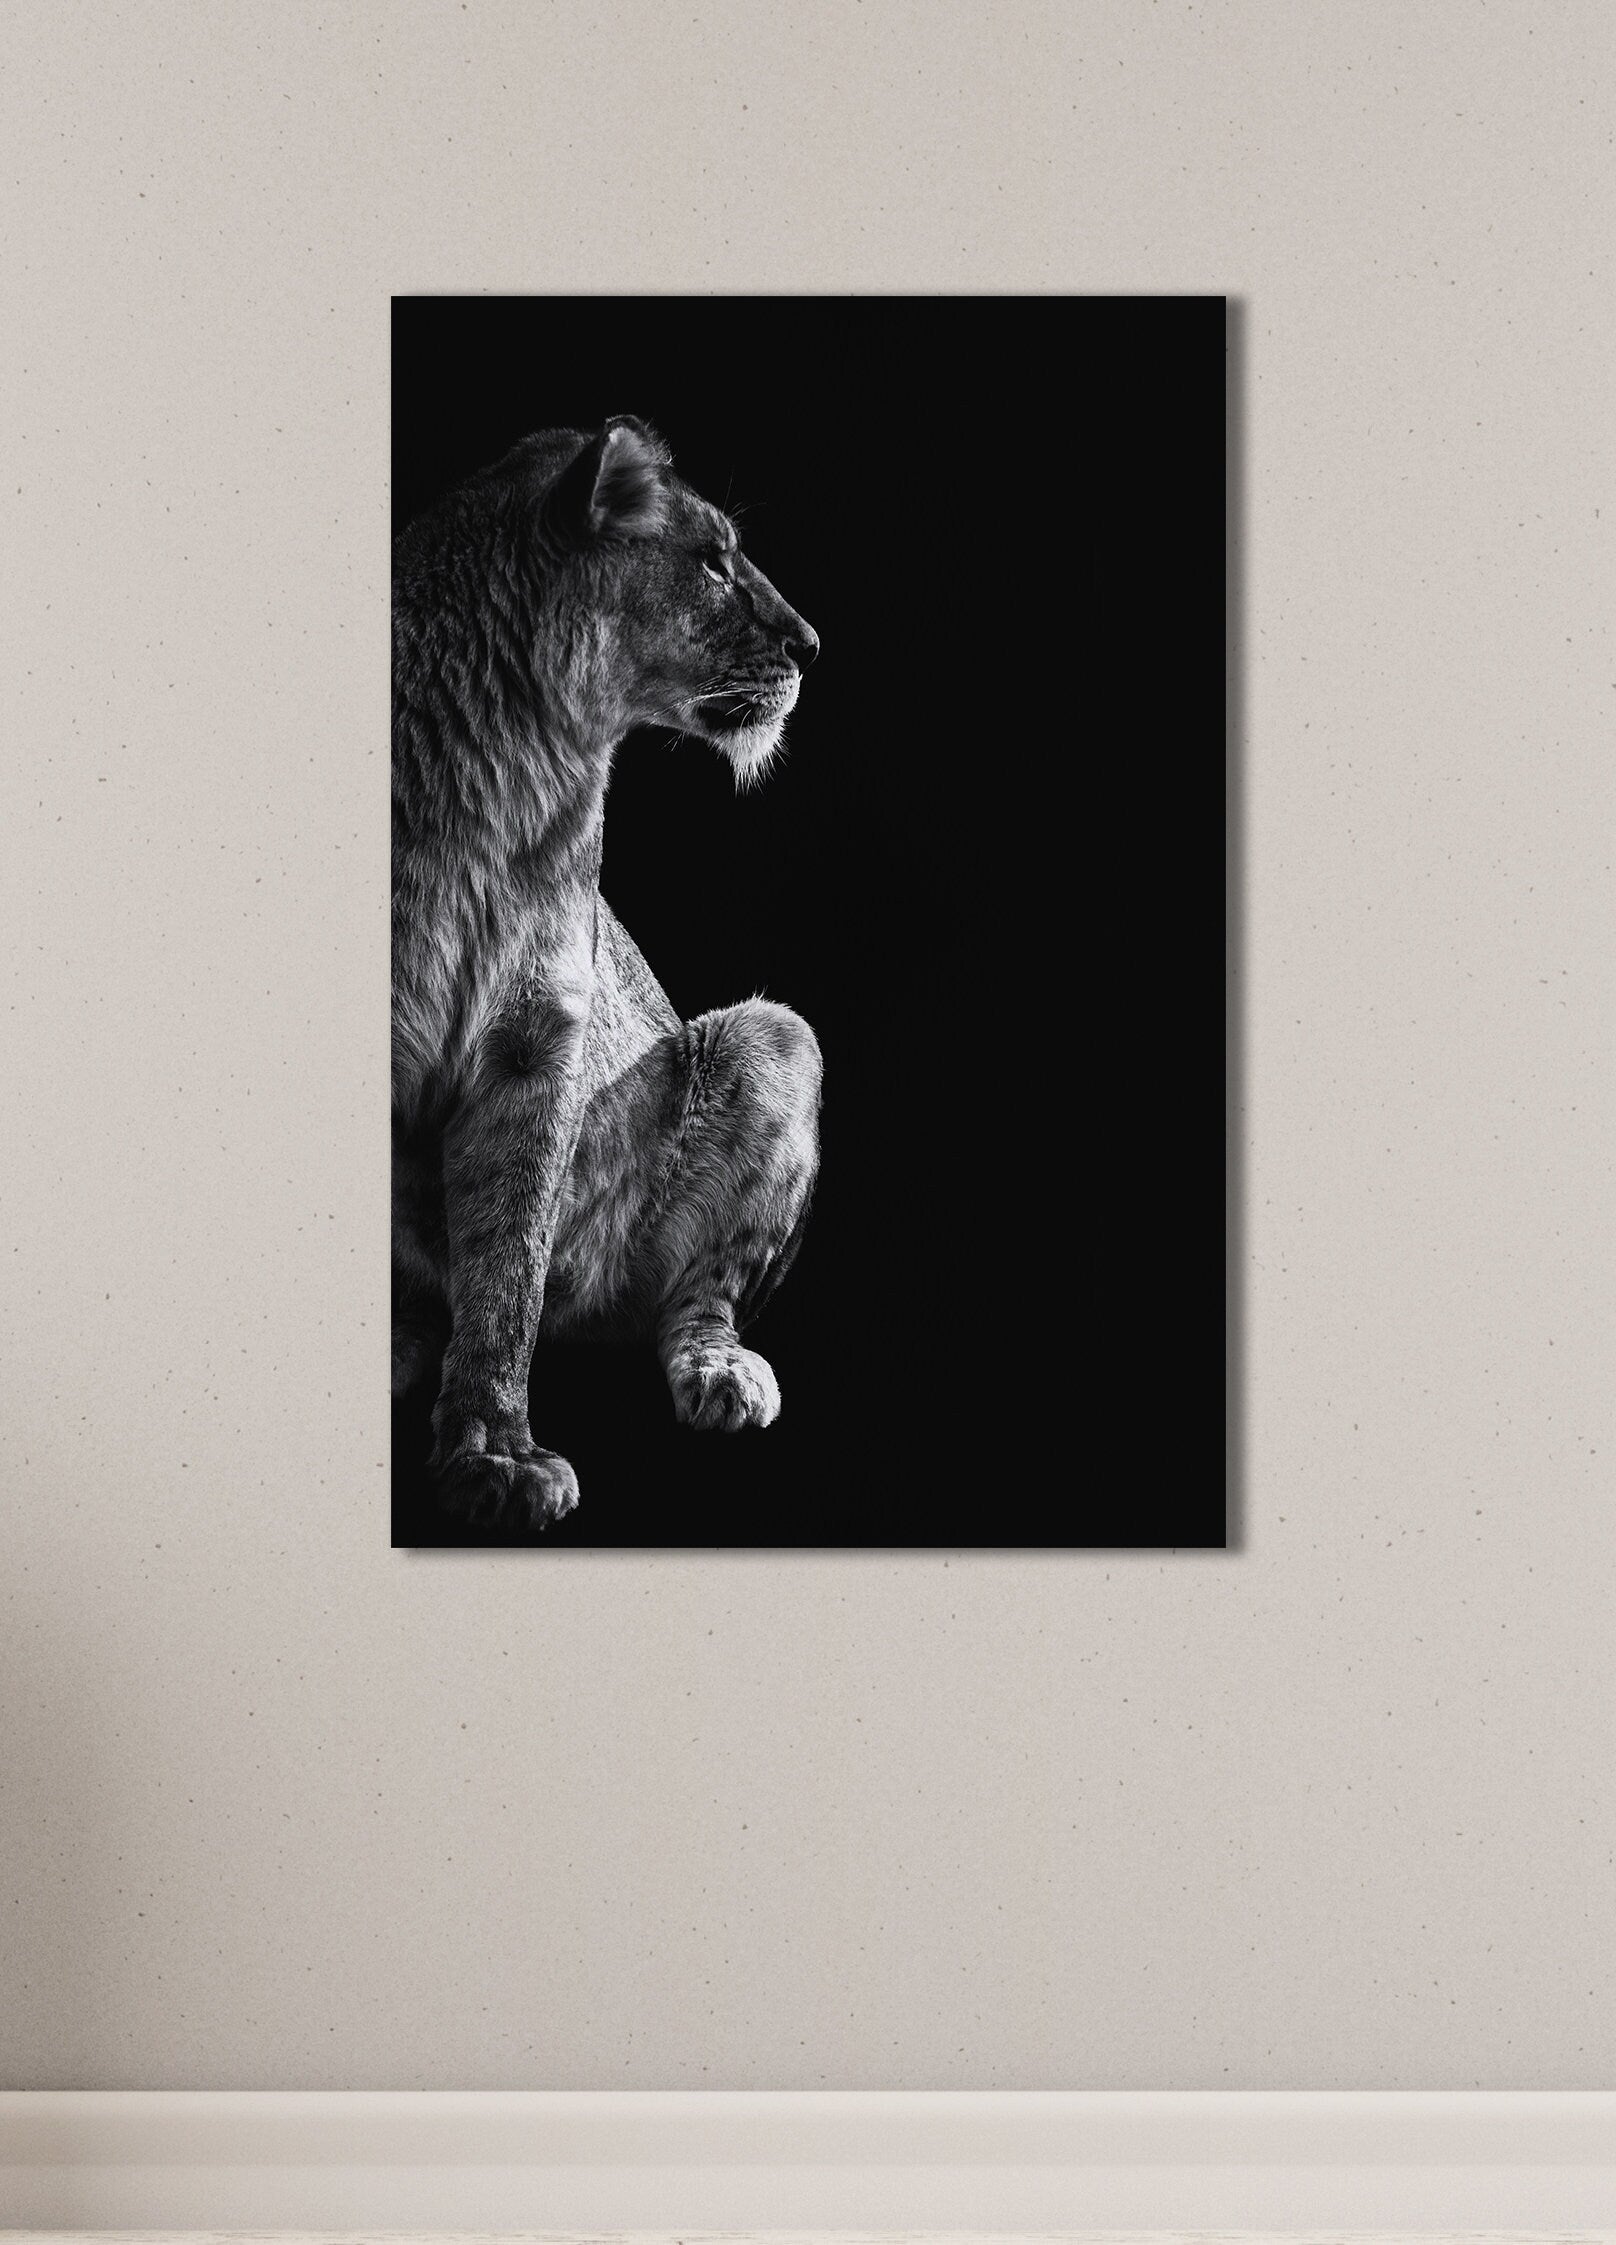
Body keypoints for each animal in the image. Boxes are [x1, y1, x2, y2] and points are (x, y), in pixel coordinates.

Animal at [392, 415, 823, 1528]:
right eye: (712, 559)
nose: (811, 643)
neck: (514, 761)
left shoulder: (534, 1044)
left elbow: (506, 1269)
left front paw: (494, 1453)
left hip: (776, 1038)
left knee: (688, 1299)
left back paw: (722, 1373)